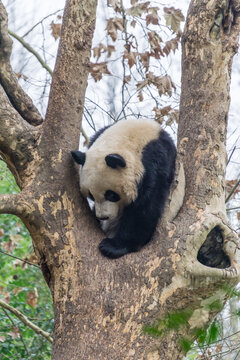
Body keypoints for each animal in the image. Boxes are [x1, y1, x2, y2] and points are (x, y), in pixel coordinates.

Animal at [71, 119, 176, 260]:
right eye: (91, 195)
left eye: (111, 195)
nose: (103, 217)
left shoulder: (156, 162)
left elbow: (145, 208)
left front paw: (113, 247)